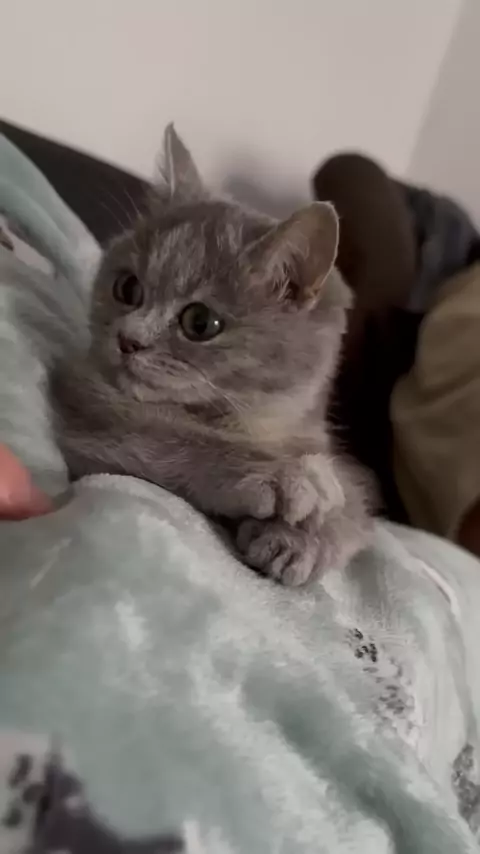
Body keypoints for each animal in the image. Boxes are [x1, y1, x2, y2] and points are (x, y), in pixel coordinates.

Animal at [49, 124, 372, 586]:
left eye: (200, 322)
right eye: (127, 288)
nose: (128, 339)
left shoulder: (344, 471)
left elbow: (352, 513)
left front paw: (298, 542)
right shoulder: (85, 419)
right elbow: (166, 441)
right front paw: (281, 476)